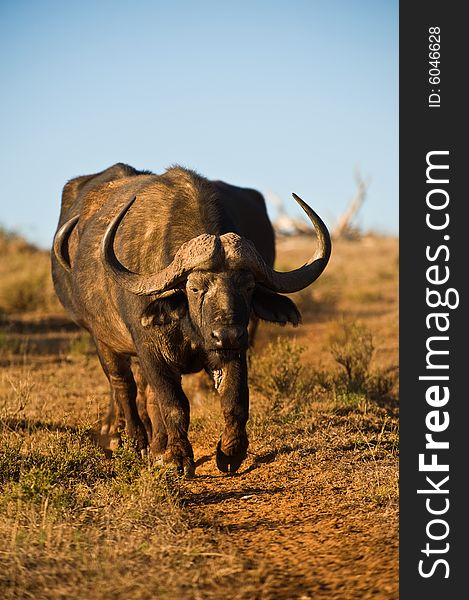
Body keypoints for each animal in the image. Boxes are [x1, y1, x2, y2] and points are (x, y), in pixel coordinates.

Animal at [52, 163, 330, 474]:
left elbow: (234, 399)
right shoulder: (150, 350)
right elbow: (174, 404)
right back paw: (130, 441)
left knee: (145, 393)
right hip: (102, 340)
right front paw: (178, 457)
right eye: (195, 288)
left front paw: (230, 452)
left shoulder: (231, 351)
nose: (227, 334)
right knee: (123, 386)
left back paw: (156, 445)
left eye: (247, 286)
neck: (189, 325)